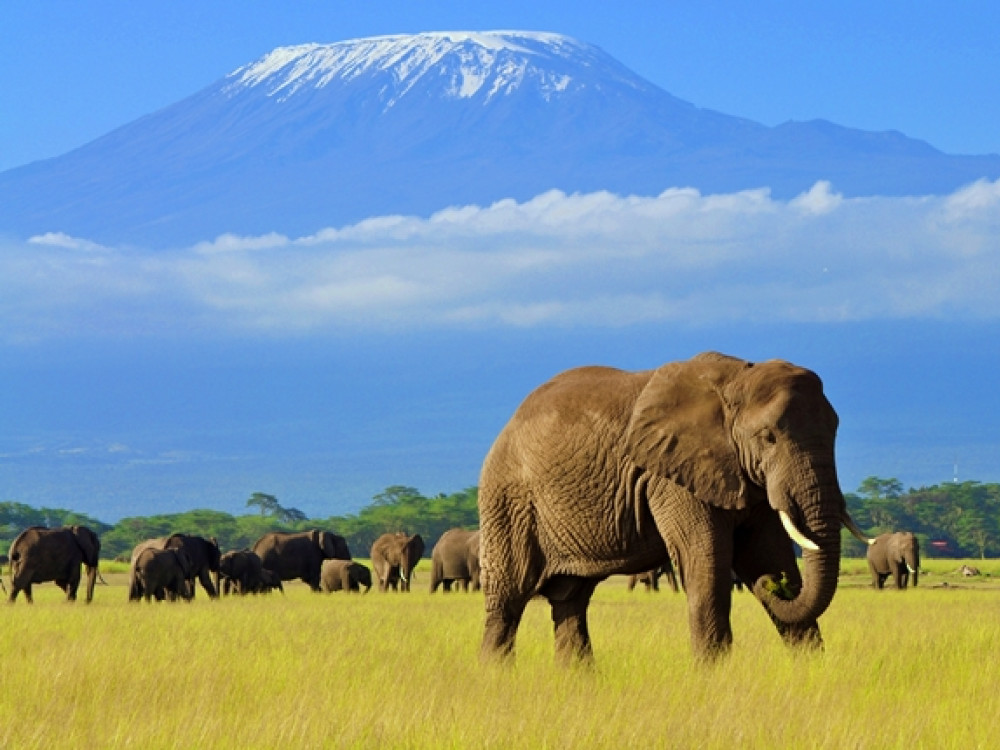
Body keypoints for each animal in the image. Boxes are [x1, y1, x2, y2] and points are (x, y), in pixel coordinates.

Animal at [474, 352, 868, 664]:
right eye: (768, 437)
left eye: (835, 431)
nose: (777, 586)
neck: (737, 378)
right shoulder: (671, 476)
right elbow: (706, 563)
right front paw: (714, 676)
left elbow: (765, 553)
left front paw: (811, 669)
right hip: (509, 501)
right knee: (508, 599)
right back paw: (496, 678)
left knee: (571, 599)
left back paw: (578, 681)